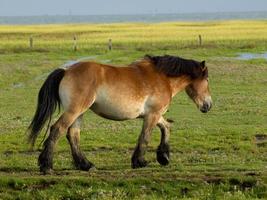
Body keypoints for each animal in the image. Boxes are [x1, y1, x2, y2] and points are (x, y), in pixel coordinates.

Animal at [27, 54, 214, 173]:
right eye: (206, 80)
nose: (208, 105)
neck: (163, 78)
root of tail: (66, 71)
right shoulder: (152, 115)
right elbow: (145, 137)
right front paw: (140, 162)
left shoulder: (154, 115)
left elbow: (166, 127)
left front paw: (164, 157)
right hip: (74, 110)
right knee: (57, 129)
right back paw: (47, 166)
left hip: (79, 113)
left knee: (73, 134)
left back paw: (86, 165)